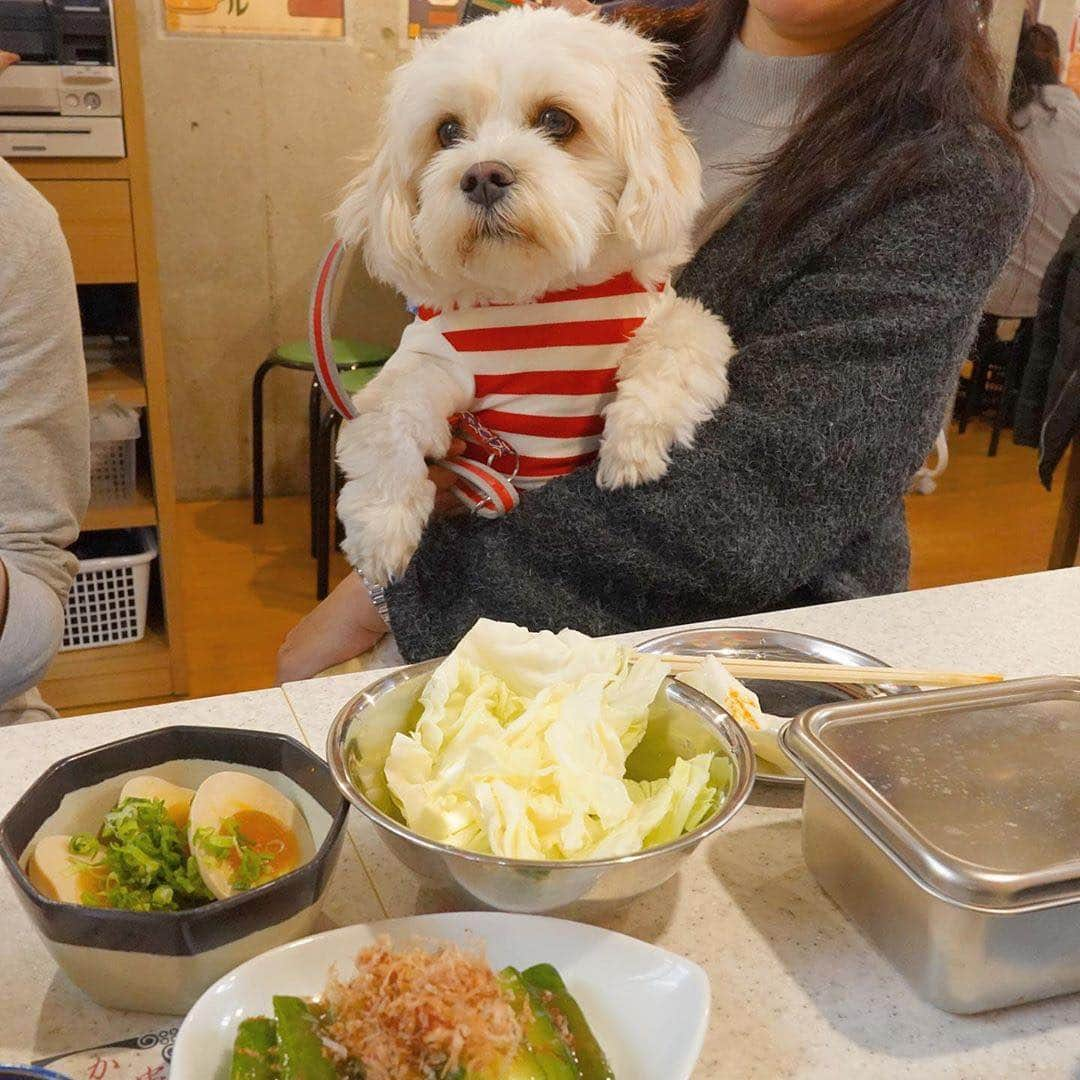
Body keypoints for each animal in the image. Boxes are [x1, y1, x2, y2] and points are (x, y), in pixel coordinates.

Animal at [332, 6, 734, 583]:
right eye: (447, 130)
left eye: (556, 121)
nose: (482, 175)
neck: (539, 294)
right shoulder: (431, 364)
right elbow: (386, 422)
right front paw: (381, 530)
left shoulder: (668, 316)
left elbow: (680, 348)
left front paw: (633, 446)